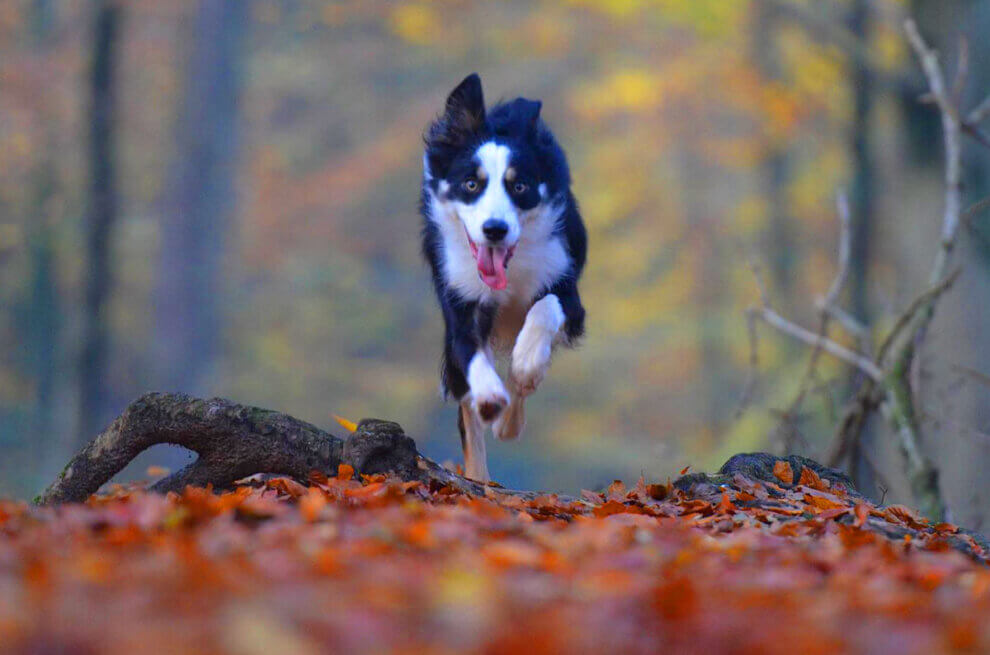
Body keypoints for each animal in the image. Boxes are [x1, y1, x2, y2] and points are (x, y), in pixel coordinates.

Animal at [420, 74, 588, 484]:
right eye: (470, 184)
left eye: (520, 186)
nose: (494, 229)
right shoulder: (459, 298)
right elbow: (469, 352)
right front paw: (490, 396)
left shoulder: (568, 292)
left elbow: (545, 309)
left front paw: (526, 364)